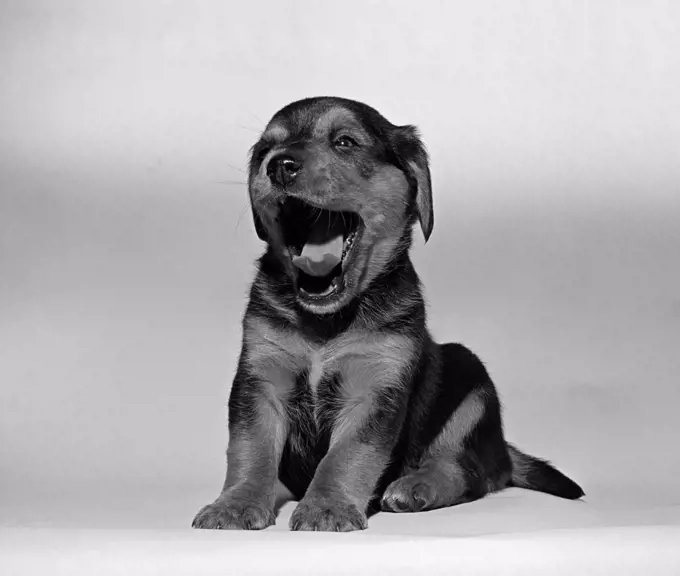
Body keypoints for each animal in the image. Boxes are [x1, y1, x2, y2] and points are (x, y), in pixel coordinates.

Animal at [191, 97, 584, 532]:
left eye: (345, 142)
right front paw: (236, 504)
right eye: (265, 150)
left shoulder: (377, 387)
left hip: (471, 378)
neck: (326, 320)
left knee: (472, 471)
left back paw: (416, 487)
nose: (278, 165)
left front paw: (327, 507)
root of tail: (500, 447)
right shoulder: (260, 379)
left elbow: (347, 455)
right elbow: (250, 447)